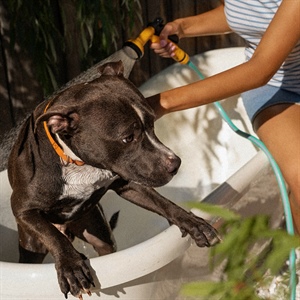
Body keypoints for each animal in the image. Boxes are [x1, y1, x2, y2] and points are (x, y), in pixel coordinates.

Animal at [8, 60, 219, 298]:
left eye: (152, 124)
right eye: (128, 137)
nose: (175, 164)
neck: (78, 162)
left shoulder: (129, 182)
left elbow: (163, 203)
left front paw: (193, 224)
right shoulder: (23, 209)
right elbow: (52, 235)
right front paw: (70, 265)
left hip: (98, 231)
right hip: (31, 244)